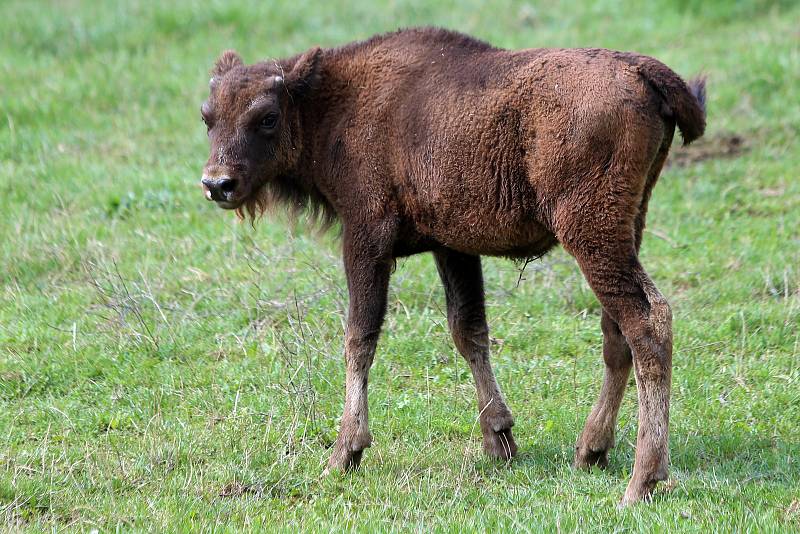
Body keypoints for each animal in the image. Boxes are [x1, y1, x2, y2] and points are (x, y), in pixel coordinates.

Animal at [200, 28, 708, 506]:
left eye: (267, 117)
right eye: (207, 117)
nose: (217, 184)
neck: (331, 101)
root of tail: (642, 71)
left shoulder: (365, 240)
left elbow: (359, 338)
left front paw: (345, 452)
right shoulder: (452, 248)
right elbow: (468, 330)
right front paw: (499, 438)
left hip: (590, 233)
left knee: (646, 321)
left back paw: (642, 479)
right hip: (626, 227)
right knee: (616, 333)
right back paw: (592, 450)